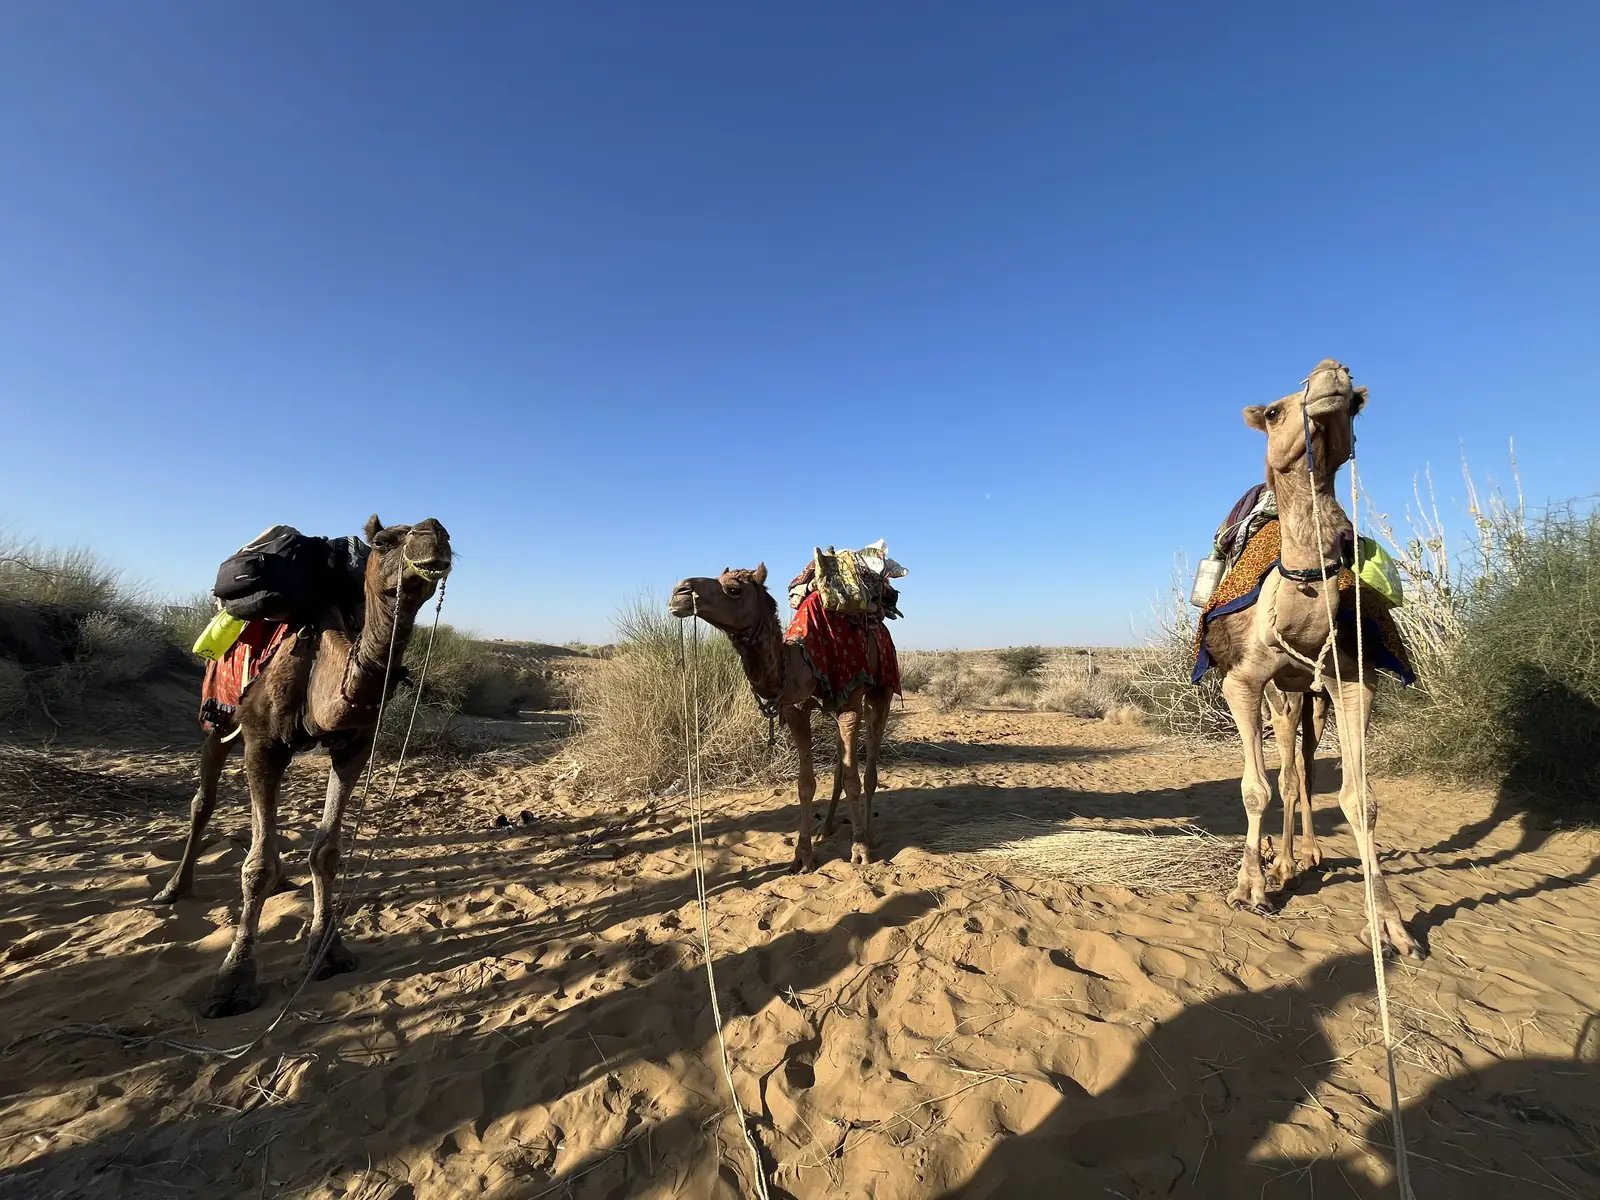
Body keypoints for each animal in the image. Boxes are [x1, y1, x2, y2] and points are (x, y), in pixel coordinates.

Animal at [155, 516, 452, 1017]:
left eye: (447, 534)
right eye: (385, 541)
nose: (434, 533)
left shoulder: (353, 749)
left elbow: (326, 853)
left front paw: (327, 953)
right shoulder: (261, 744)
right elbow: (252, 868)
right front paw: (233, 980)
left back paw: (278, 879)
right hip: (218, 715)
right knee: (204, 802)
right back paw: (175, 888)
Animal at [669, 565, 894, 871]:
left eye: (734, 589)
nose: (679, 592)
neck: (803, 662)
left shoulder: (849, 705)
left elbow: (853, 781)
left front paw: (859, 850)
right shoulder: (795, 709)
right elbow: (806, 784)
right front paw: (802, 856)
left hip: (881, 690)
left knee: (869, 765)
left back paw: (868, 834)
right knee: (839, 767)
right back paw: (826, 828)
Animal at [1202, 360, 1420, 957]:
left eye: (1357, 405)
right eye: (1275, 412)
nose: (1331, 373)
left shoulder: (1354, 681)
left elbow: (1360, 799)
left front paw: (1390, 923)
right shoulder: (1242, 682)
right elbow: (1254, 789)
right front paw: (1250, 887)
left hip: (1311, 695)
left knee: (1303, 766)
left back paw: (1306, 854)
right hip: (1282, 693)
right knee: (1288, 772)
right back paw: (1283, 862)